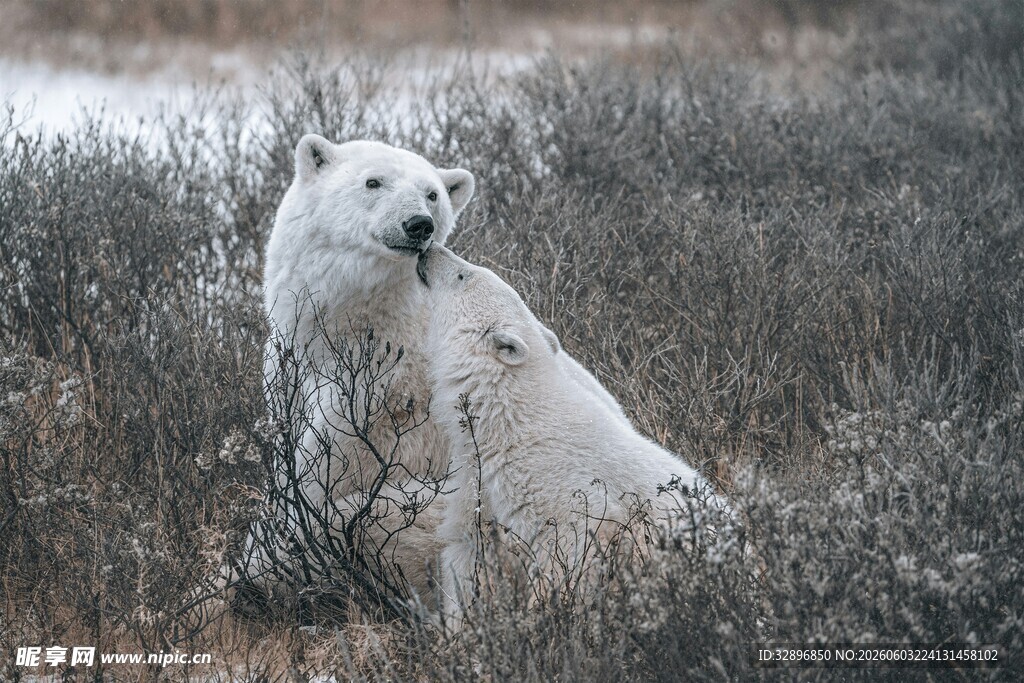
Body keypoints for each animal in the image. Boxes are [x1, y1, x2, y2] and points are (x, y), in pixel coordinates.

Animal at [244, 135, 475, 603]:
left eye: (432, 194)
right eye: (373, 182)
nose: (418, 224)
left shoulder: (378, 403)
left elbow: (320, 475)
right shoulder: (289, 365)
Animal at [415, 244, 727, 620]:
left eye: (464, 274)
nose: (429, 248)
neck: (511, 418)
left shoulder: (563, 495)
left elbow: (566, 555)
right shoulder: (479, 483)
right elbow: (468, 549)